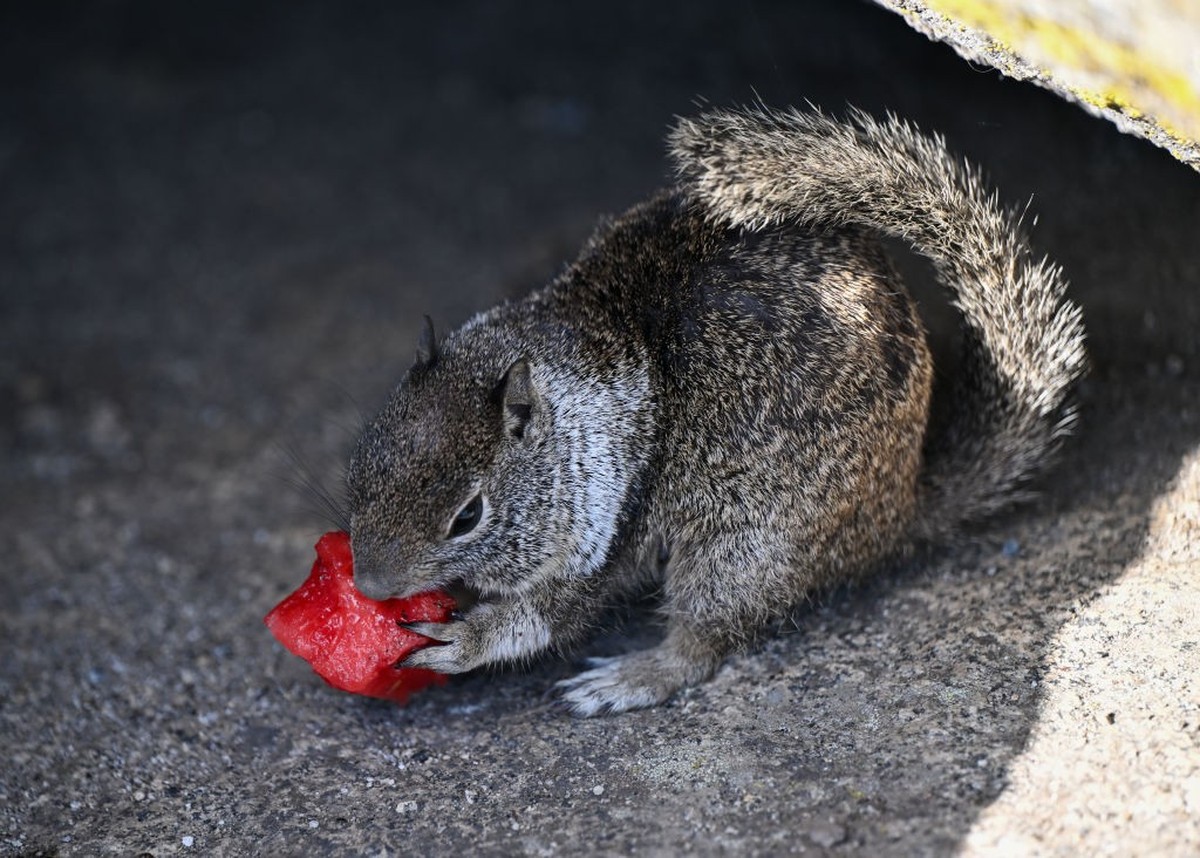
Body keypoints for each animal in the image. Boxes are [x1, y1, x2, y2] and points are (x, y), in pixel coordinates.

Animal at [344, 106, 1086, 716]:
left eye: (468, 516)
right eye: (358, 465)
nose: (371, 586)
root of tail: (899, 509)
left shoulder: (607, 534)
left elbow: (545, 619)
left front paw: (464, 637)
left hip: (744, 546)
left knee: (703, 642)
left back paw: (630, 677)